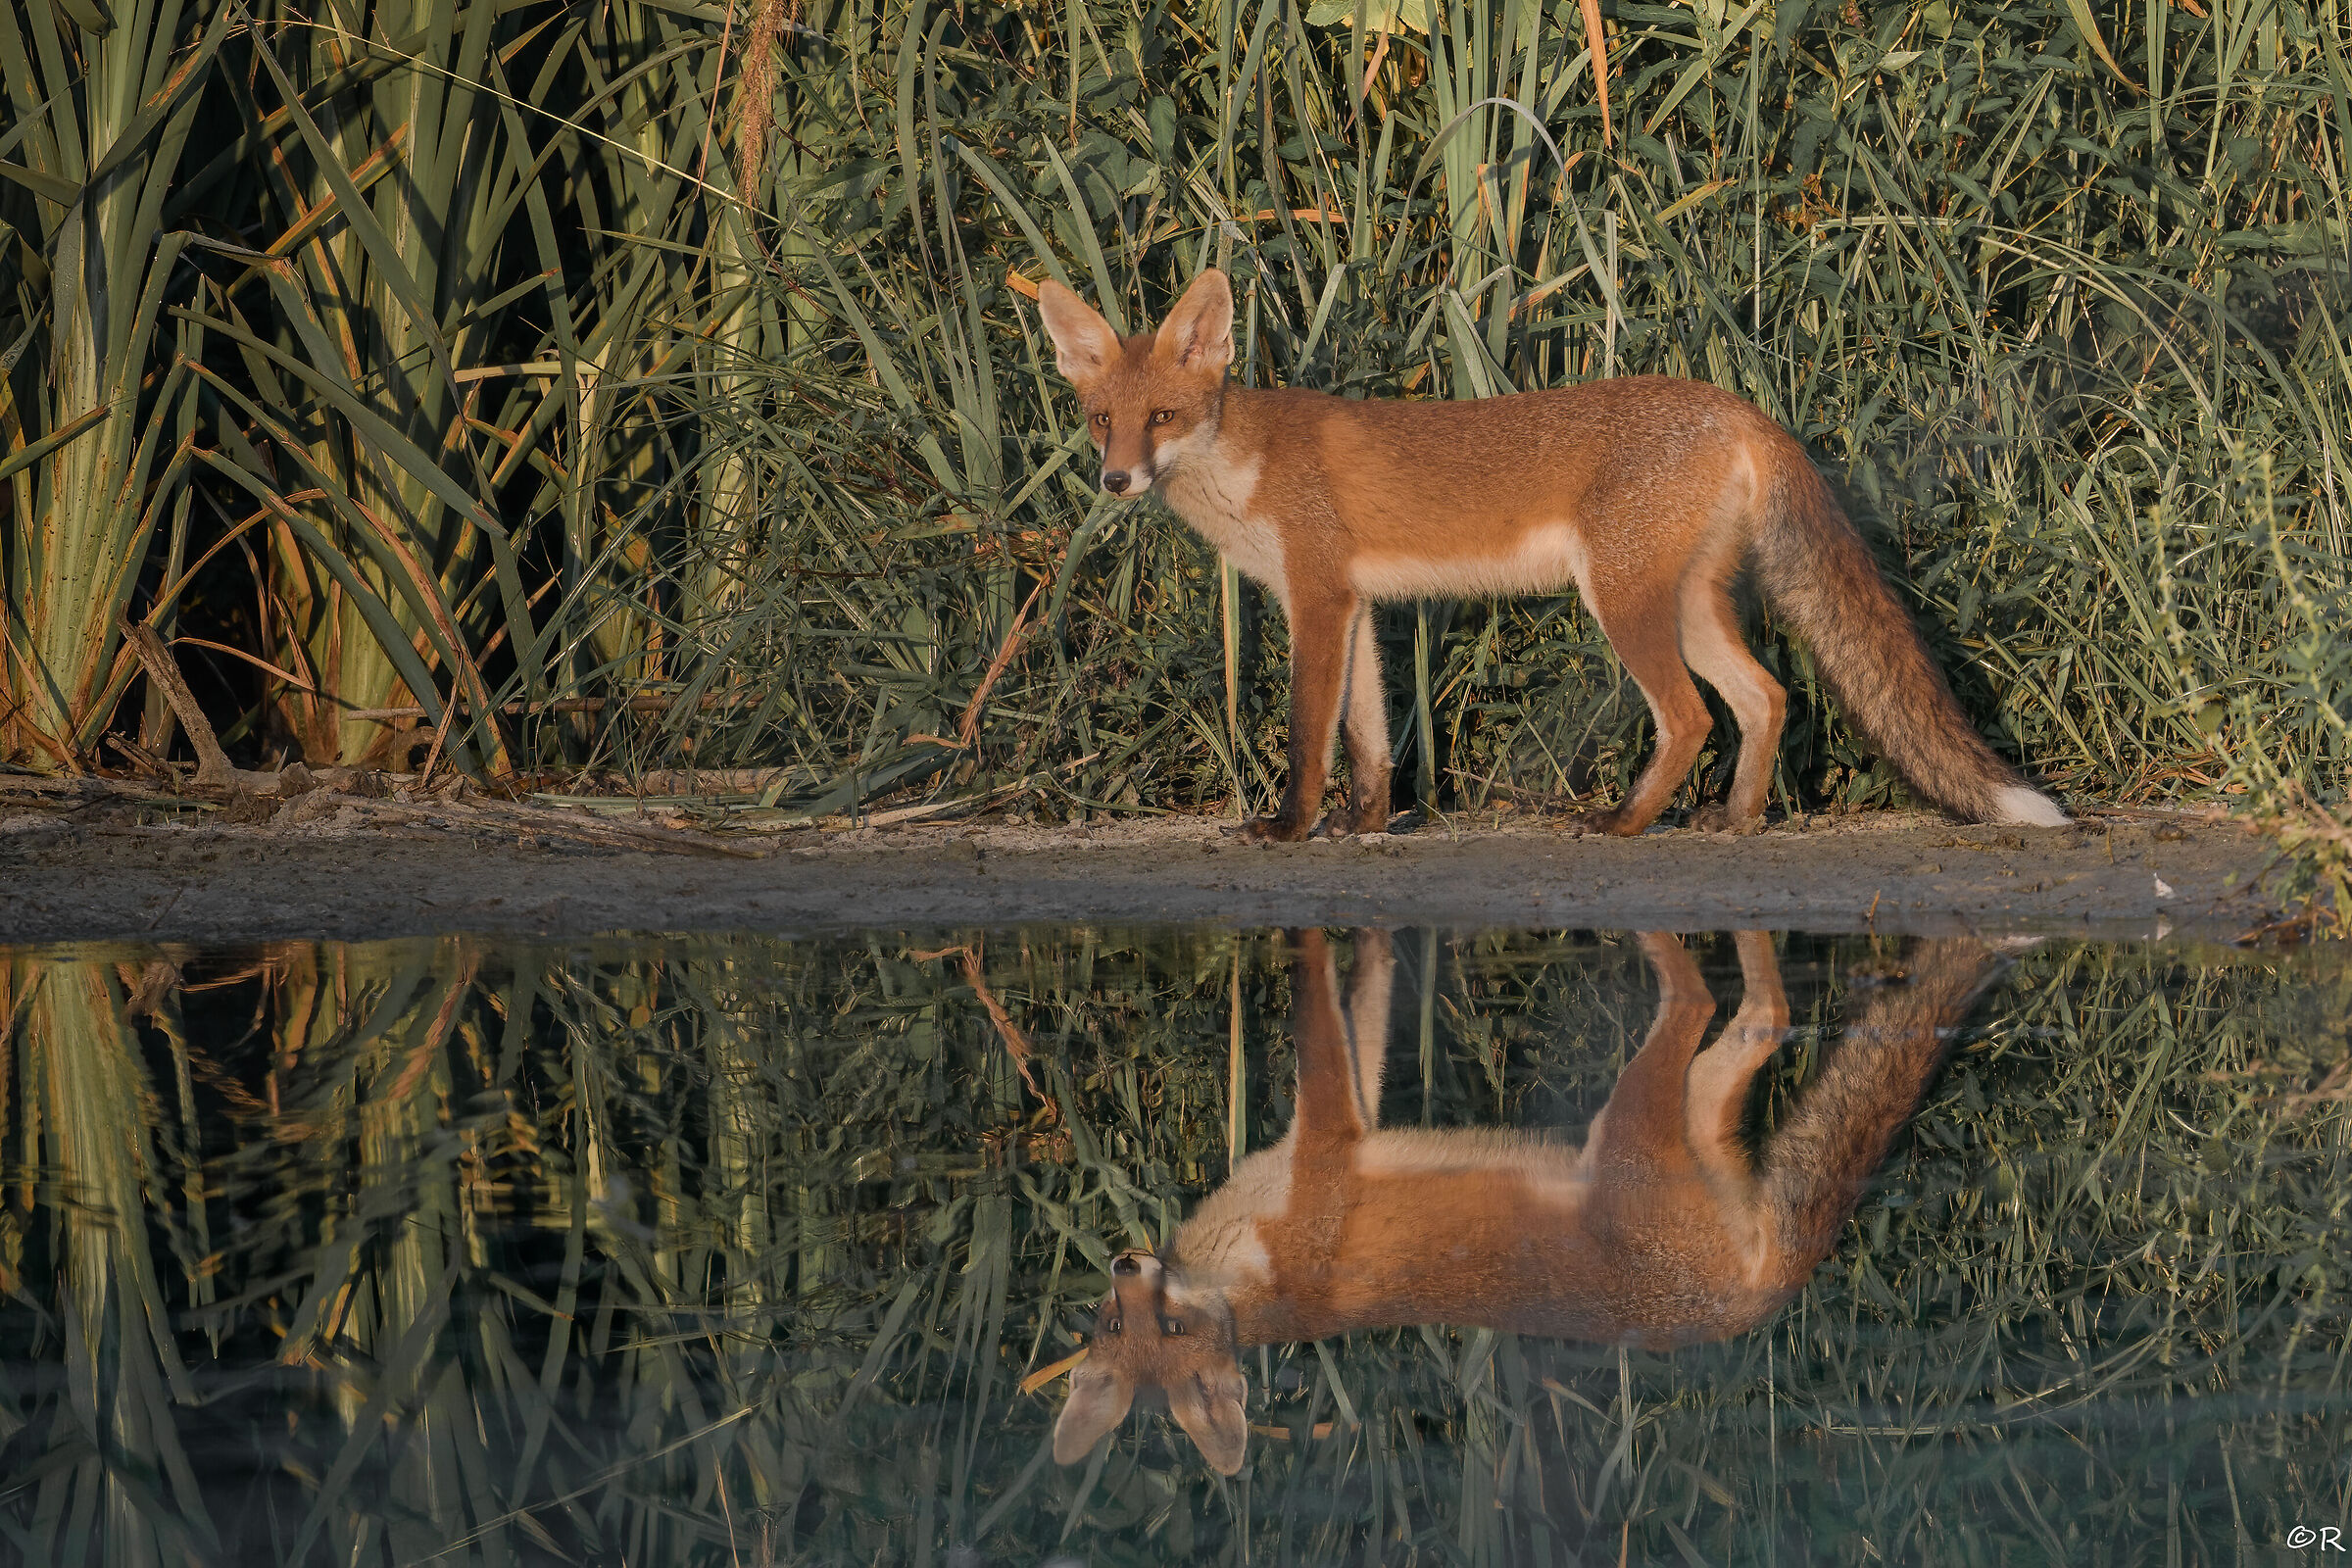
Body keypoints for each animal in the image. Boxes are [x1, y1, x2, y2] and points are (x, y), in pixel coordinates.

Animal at [1036, 268, 2068, 842]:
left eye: (1162, 418)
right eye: (1101, 420)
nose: (1115, 481)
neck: (1244, 471)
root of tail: (1734, 405)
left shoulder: (1318, 599)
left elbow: (1307, 734)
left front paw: (1291, 828)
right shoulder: (1355, 605)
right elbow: (1369, 740)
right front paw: (1363, 825)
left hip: (1622, 599)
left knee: (1691, 718)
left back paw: (1624, 822)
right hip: (1688, 604)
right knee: (1765, 698)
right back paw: (1734, 819)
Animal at [1050, 926, 2009, 1475]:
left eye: (1169, 1325)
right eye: (1117, 1323)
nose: (1125, 1264)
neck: (1251, 1277)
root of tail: (1748, 1304)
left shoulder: (1328, 1140)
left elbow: (1334, 1014)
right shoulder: (1334, 1137)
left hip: (1642, 1113)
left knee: (1725, 997)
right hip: (1664, 1111)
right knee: (1749, 1009)